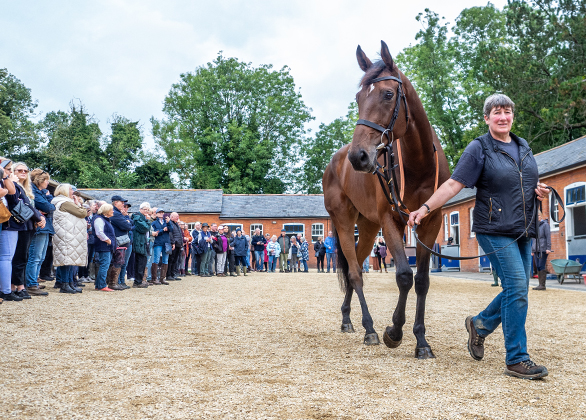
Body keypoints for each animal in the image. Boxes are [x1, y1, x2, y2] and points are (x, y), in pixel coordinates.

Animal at [322, 41, 450, 360]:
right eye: (358, 97)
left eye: (388, 94)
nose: (358, 156)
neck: (419, 164)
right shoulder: (391, 220)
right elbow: (403, 275)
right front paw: (394, 331)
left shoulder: (430, 222)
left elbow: (422, 281)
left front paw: (421, 341)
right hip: (344, 222)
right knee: (355, 273)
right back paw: (368, 328)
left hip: (368, 227)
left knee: (355, 266)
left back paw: (347, 318)